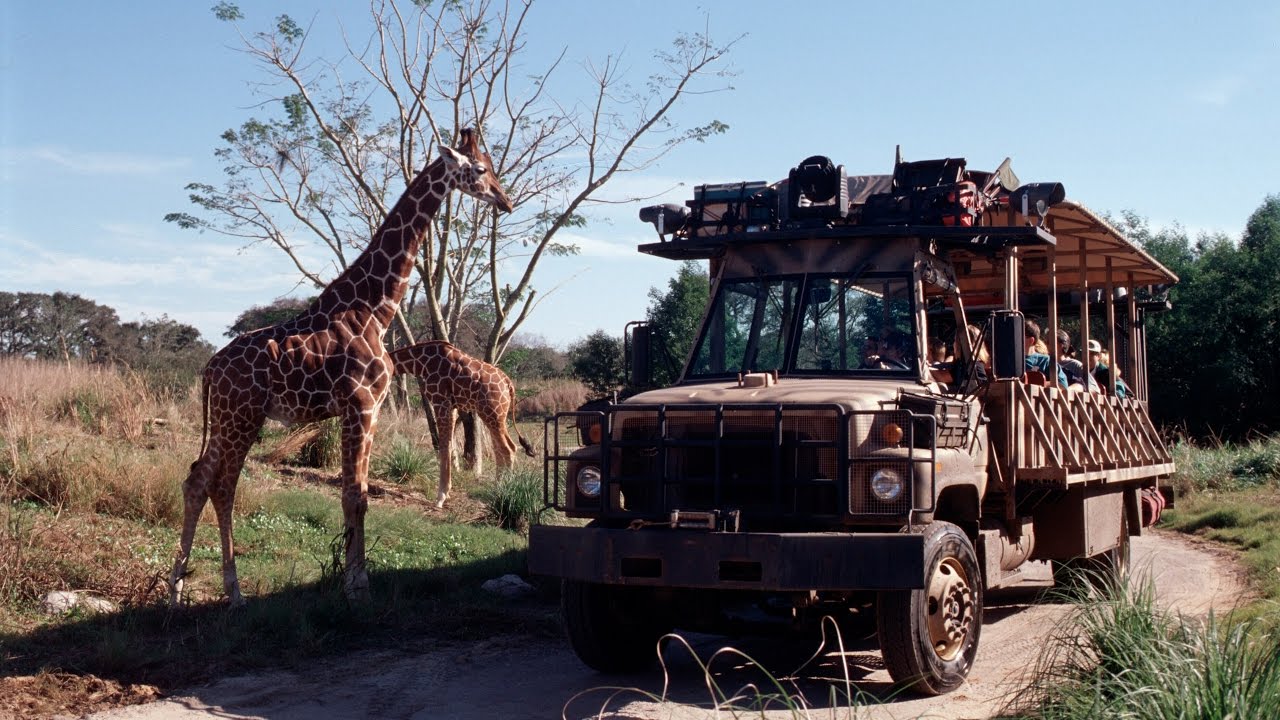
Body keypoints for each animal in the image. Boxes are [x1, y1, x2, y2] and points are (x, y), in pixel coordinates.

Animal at [171, 130, 514, 604]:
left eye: (493, 166)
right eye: (480, 169)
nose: (505, 200)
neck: (374, 309)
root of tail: (209, 368)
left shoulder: (368, 409)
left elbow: (359, 493)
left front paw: (354, 578)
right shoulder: (361, 405)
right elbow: (354, 495)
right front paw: (357, 586)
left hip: (228, 419)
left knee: (197, 479)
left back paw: (178, 591)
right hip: (241, 416)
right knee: (221, 485)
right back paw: (231, 592)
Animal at [386, 340, 532, 504]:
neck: (420, 362)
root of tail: (509, 384)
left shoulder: (440, 400)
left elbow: (444, 445)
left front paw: (441, 496)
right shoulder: (452, 406)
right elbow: (450, 444)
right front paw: (447, 492)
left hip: (492, 413)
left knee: (508, 448)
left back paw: (502, 490)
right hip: (495, 415)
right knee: (502, 448)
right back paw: (498, 485)